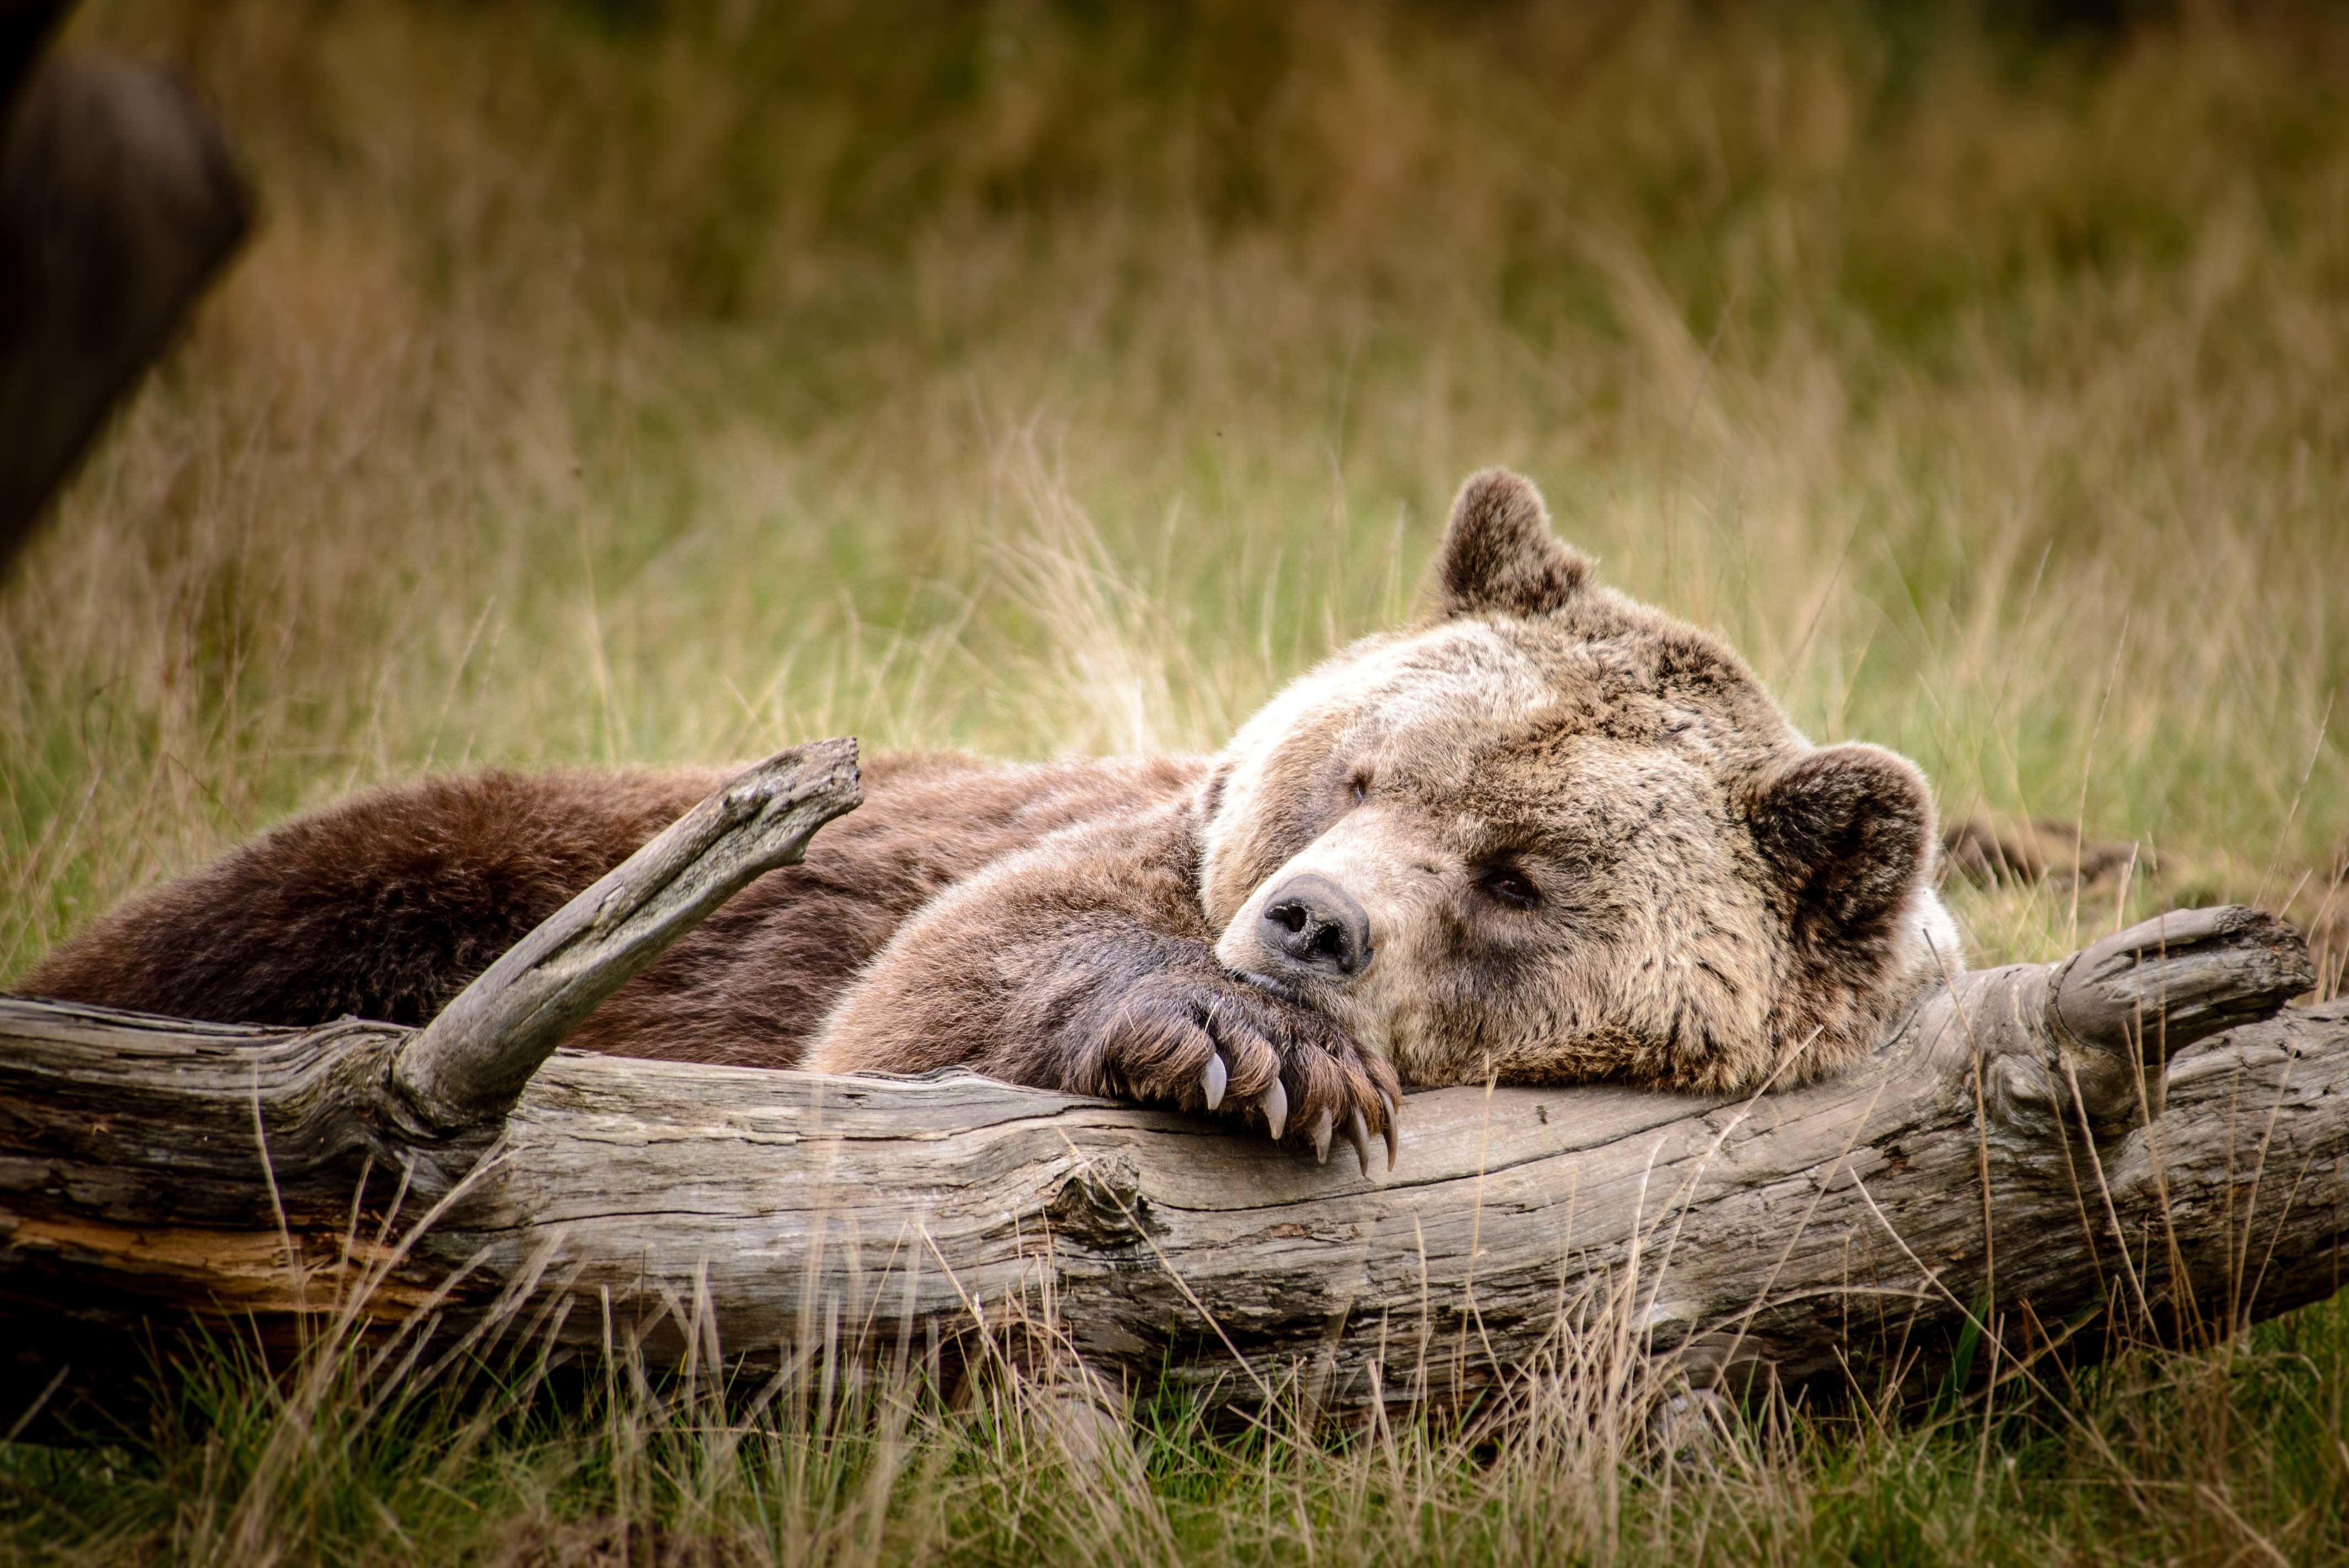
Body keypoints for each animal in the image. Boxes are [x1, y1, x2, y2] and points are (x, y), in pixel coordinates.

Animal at [23, 471, 1964, 1169]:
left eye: (1519, 877)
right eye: (1359, 771)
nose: (1306, 926)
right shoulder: (1087, 851)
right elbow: (936, 988)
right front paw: (1243, 1048)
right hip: (456, 860)